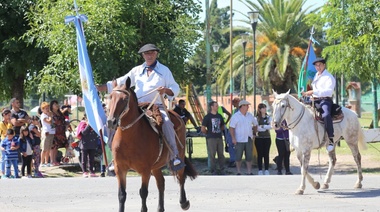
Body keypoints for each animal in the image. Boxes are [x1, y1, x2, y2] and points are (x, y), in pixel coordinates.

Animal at [106, 78, 197, 212]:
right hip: (155, 167)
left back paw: (184, 202)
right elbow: (122, 194)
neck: (129, 138)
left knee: (181, 177)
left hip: (178, 156)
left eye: (125, 99)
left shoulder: (145, 170)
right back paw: (160, 208)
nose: (111, 121)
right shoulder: (120, 169)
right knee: (161, 183)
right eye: (111, 97)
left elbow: (143, 192)